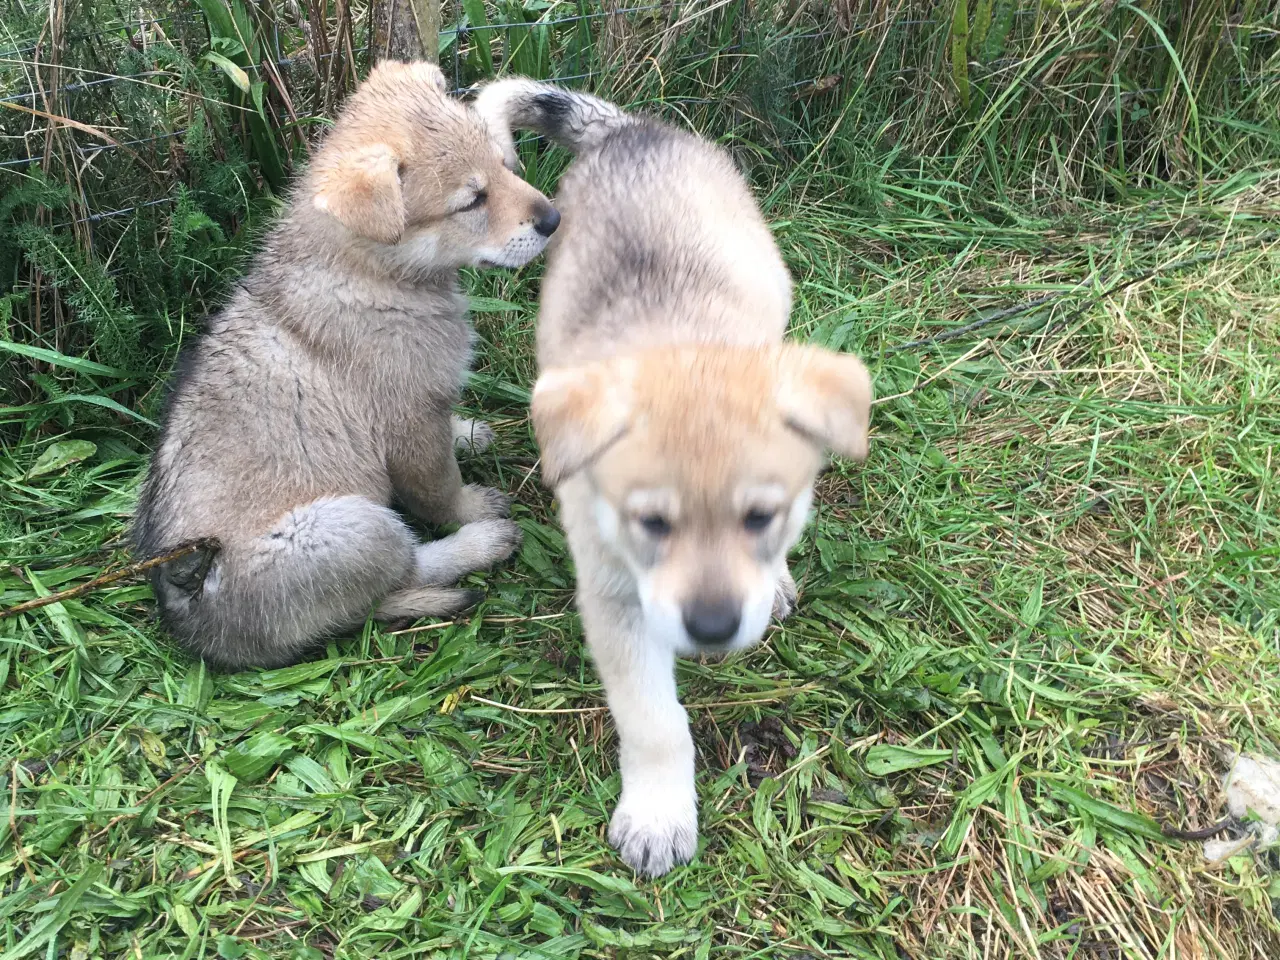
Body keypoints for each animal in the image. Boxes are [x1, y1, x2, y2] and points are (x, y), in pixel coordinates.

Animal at [132, 64, 563, 670]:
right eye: (471, 201)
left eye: (505, 165)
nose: (554, 218)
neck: (372, 272)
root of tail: (200, 633)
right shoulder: (409, 426)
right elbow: (440, 490)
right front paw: (474, 507)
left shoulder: (425, 404)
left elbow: (449, 432)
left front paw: (468, 432)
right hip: (352, 527)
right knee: (406, 568)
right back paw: (482, 543)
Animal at [476, 79, 875, 880]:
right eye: (652, 524)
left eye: (761, 517)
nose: (713, 631)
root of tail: (631, 131)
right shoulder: (615, 600)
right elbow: (654, 720)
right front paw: (660, 813)